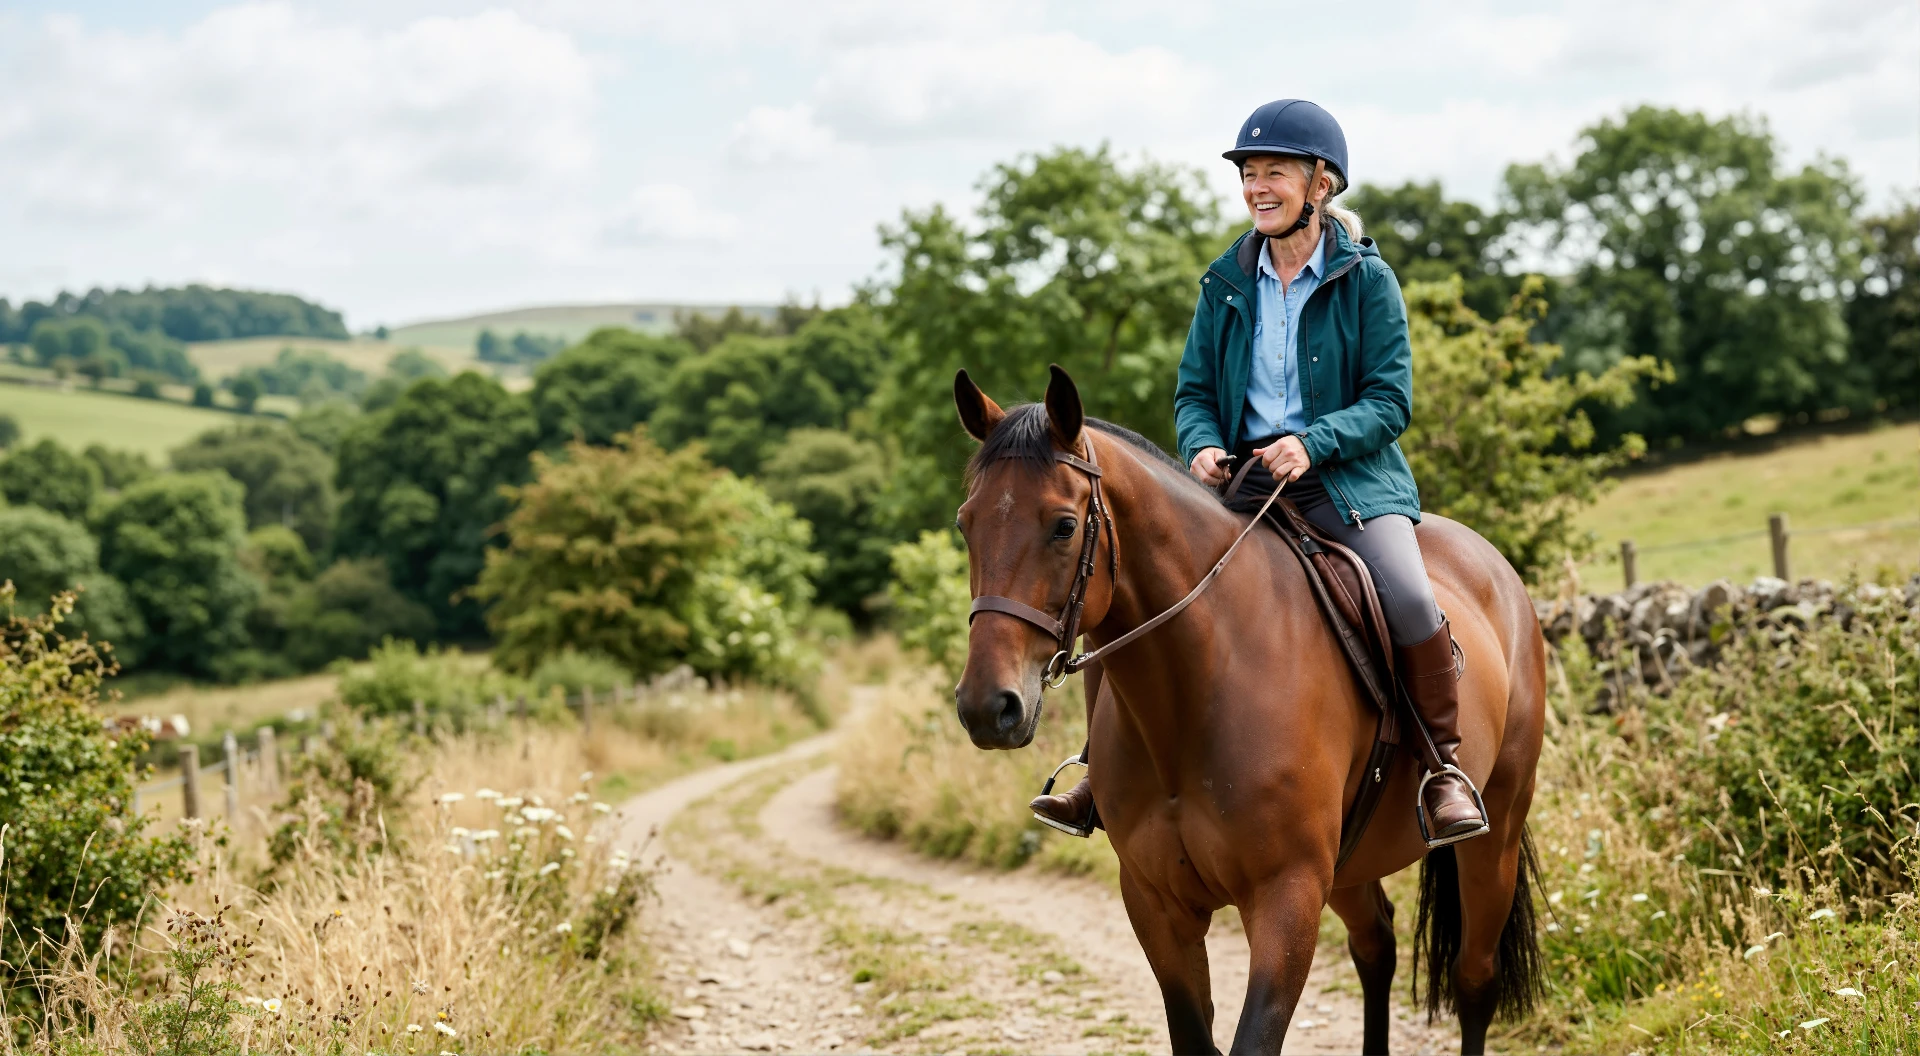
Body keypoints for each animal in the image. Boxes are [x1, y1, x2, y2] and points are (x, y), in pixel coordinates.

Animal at [950, 365, 1546, 1055]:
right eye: (966, 524)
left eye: (1064, 526)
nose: (987, 707)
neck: (1199, 689)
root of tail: (1497, 569)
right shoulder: (1155, 903)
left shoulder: (1286, 897)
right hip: (1351, 864)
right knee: (1377, 947)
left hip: (1496, 832)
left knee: (1475, 977)